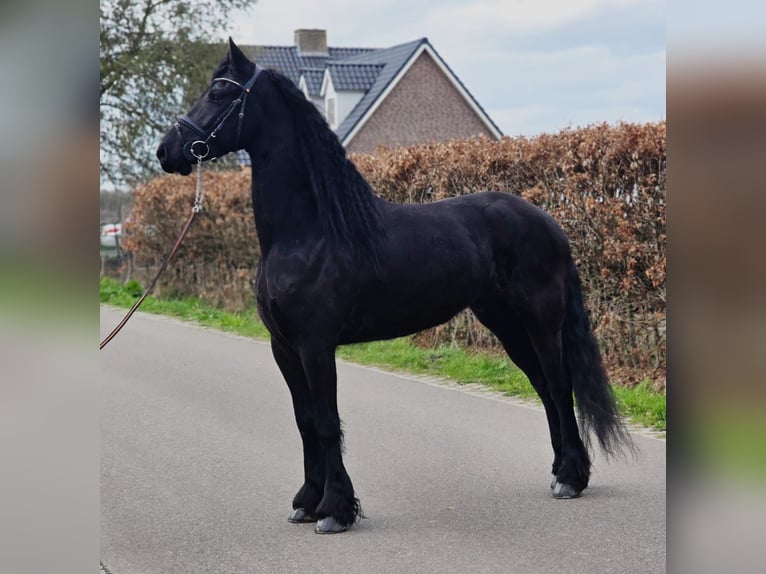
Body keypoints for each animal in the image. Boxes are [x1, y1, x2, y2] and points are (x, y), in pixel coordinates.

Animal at [157, 38, 633, 534]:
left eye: (219, 93)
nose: (166, 151)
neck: (308, 233)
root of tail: (550, 224)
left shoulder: (315, 345)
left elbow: (326, 421)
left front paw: (335, 510)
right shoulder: (283, 346)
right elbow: (304, 420)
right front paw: (307, 501)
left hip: (541, 322)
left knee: (559, 387)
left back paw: (572, 479)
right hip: (504, 323)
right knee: (543, 388)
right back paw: (560, 472)